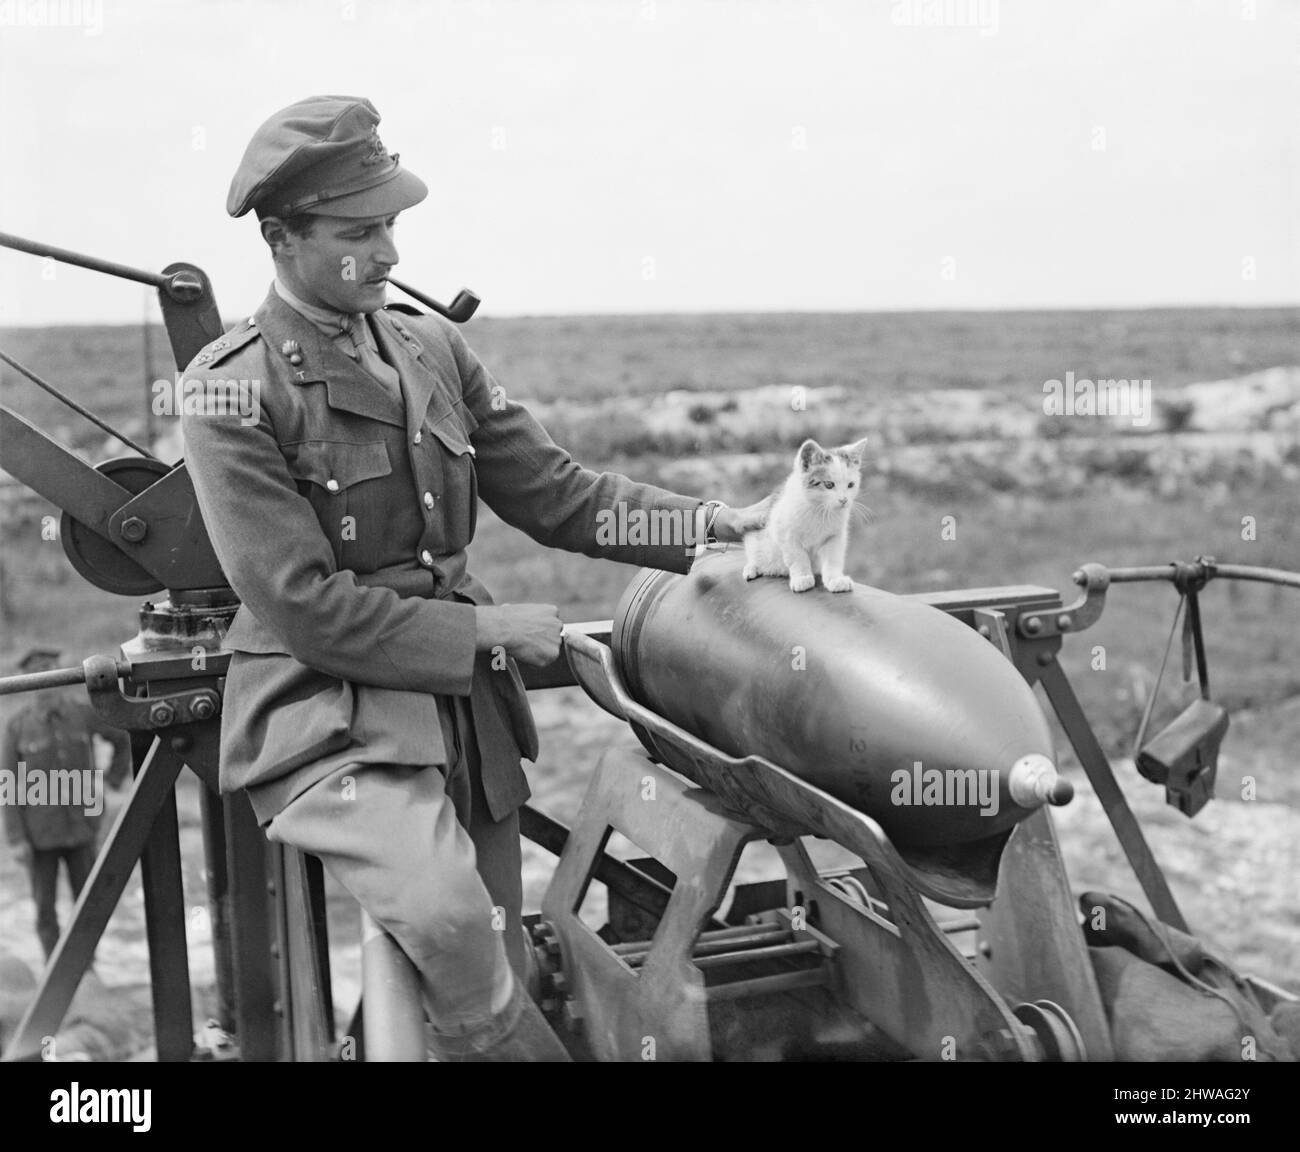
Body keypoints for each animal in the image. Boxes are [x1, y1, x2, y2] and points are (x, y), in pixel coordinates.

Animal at [743, 434, 873, 595]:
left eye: (851, 485)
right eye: (829, 485)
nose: (844, 500)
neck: (819, 510)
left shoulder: (835, 536)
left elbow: (833, 557)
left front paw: (835, 579)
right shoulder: (784, 531)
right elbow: (797, 556)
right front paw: (802, 578)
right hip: (754, 536)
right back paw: (751, 567)